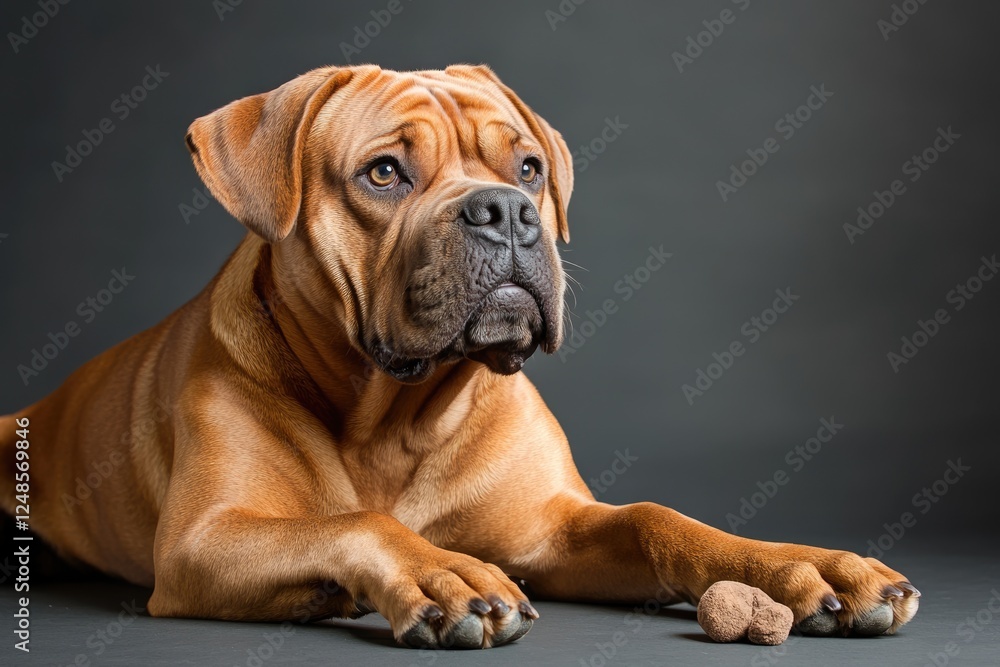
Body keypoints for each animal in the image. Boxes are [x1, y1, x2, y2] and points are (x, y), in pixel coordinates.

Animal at [1, 65, 920, 648]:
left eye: (530, 166)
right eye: (383, 173)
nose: (506, 209)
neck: (395, 416)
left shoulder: (555, 529)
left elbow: (663, 521)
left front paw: (798, 565)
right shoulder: (204, 541)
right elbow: (357, 520)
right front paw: (441, 573)